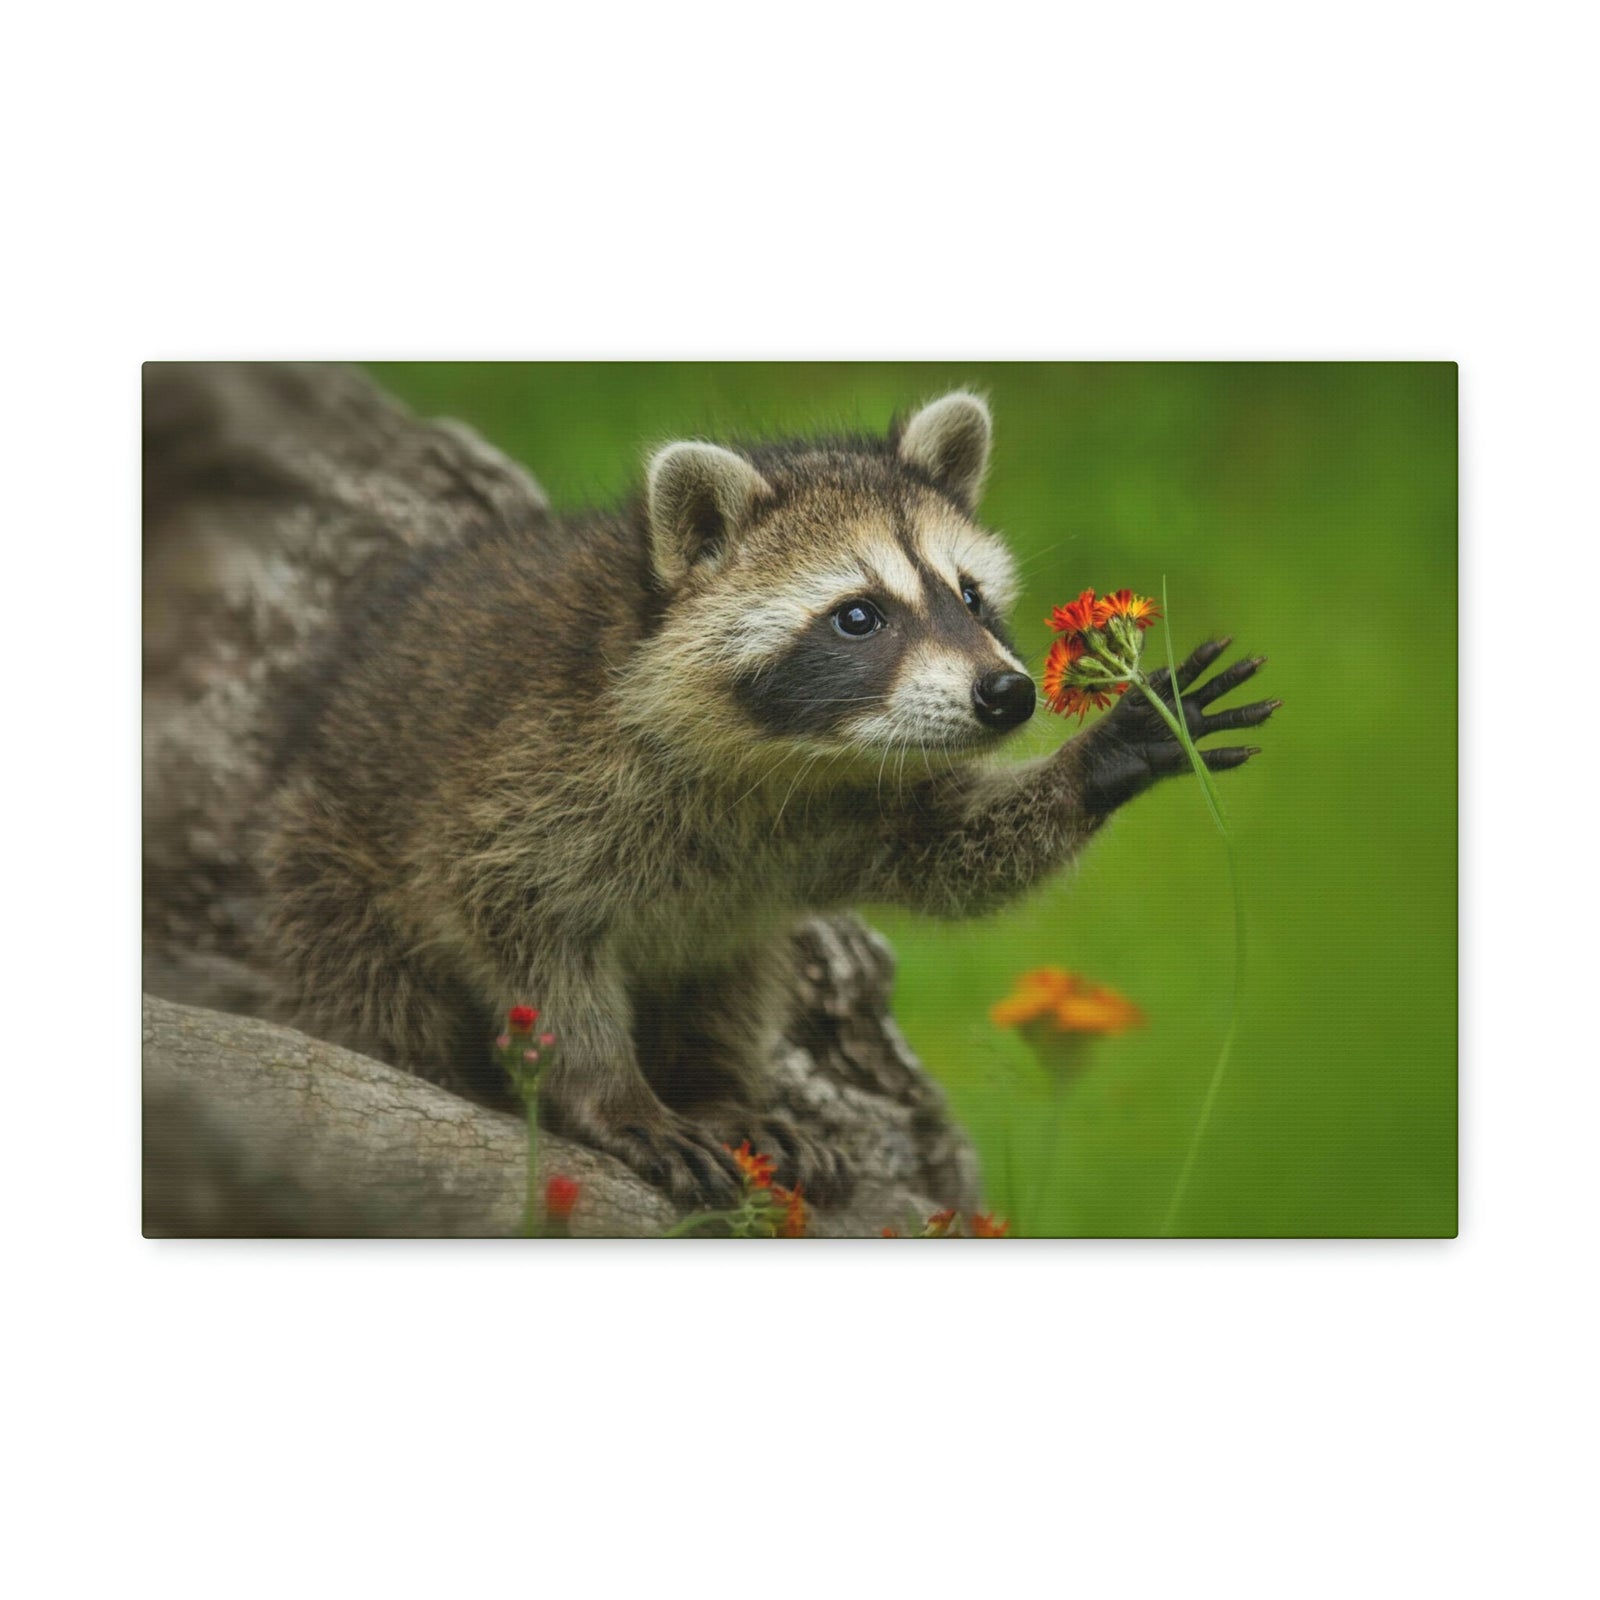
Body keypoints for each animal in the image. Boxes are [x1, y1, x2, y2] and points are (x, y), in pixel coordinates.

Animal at [262, 391, 1275, 1205]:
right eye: (858, 616)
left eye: (970, 598)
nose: (1009, 696)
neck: (786, 759)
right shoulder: (524, 785)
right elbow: (529, 942)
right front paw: (610, 1092)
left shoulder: (852, 803)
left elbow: (954, 851)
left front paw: (1103, 756)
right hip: (327, 869)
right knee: (375, 995)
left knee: (731, 978)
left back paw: (721, 1090)